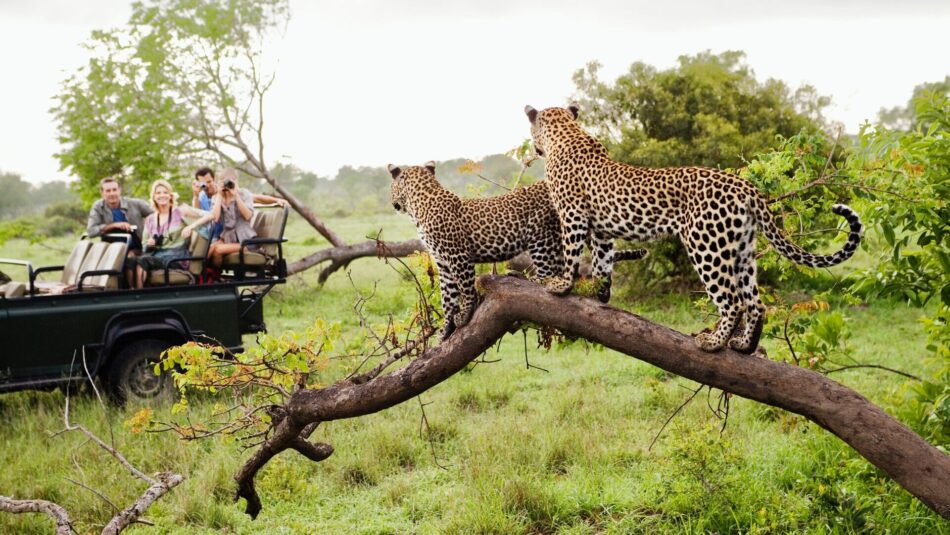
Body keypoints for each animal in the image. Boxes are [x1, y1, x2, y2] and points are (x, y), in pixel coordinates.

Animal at [389, 161, 646, 340]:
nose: (393, 203)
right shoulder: (442, 263)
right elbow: (448, 297)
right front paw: (445, 330)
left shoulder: (458, 256)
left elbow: (466, 289)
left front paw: (465, 314)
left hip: (541, 236)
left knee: (549, 274)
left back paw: (525, 278)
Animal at [523, 104, 863, 354]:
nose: (534, 147)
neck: (566, 133)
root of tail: (746, 187)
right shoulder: (602, 230)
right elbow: (603, 262)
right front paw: (600, 293)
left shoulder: (572, 215)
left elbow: (571, 253)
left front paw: (561, 285)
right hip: (741, 249)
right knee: (755, 302)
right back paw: (743, 345)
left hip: (706, 245)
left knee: (733, 301)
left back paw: (713, 343)